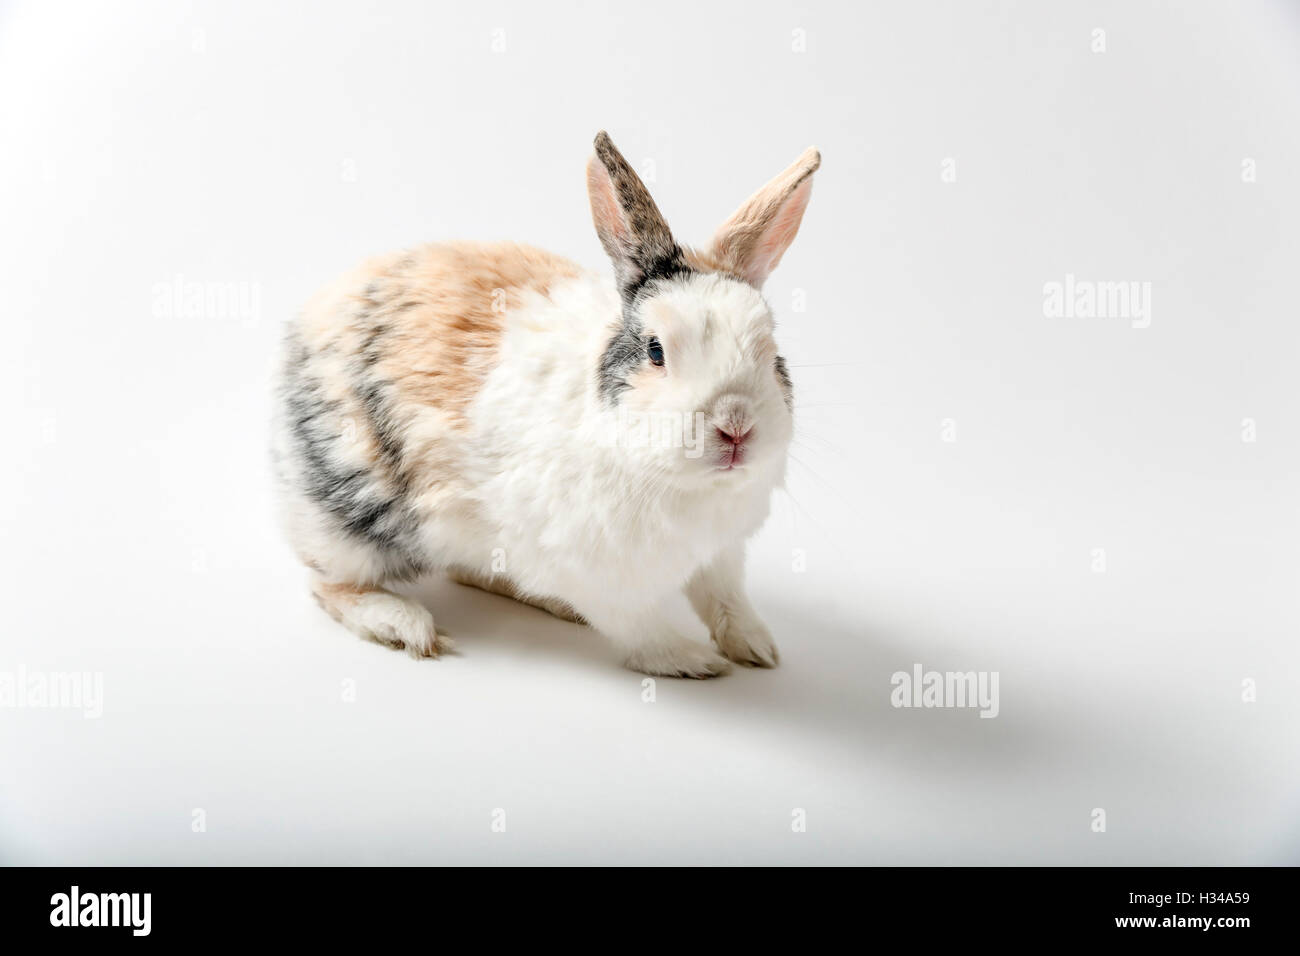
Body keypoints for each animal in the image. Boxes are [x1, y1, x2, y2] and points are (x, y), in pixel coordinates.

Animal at [272, 131, 819, 677]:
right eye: (656, 351)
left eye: (770, 350)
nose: (736, 427)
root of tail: (317, 310)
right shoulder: (596, 572)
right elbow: (640, 628)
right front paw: (692, 662)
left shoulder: (721, 554)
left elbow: (726, 600)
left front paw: (757, 649)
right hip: (349, 519)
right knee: (329, 584)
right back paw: (402, 623)